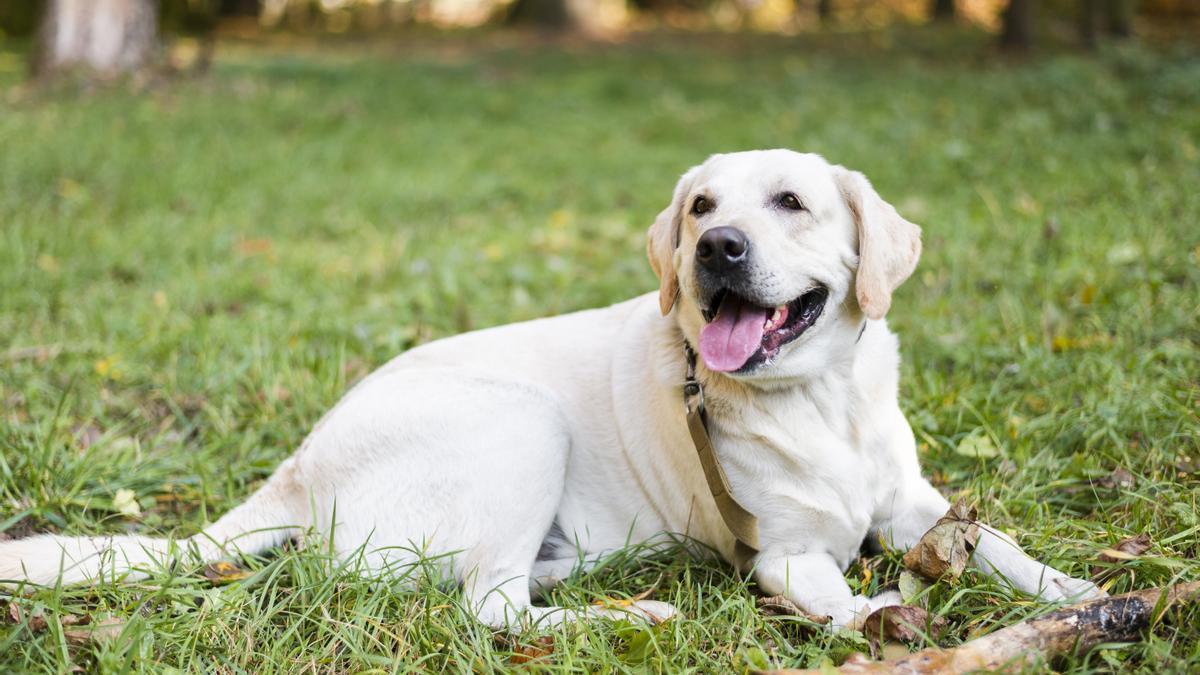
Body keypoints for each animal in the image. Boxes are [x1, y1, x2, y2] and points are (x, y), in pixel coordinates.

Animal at [2, 149, 1104, 629]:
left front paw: (1082, 593)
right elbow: (837, 596)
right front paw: (881, 618)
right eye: (701, 205)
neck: (817, 397)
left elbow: (1002, 546)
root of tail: (296, 471)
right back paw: (628, 615)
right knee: (490, 610)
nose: (716, 246)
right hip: (519, 422)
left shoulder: (915, 502)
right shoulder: (785, 554)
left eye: (790, 202)